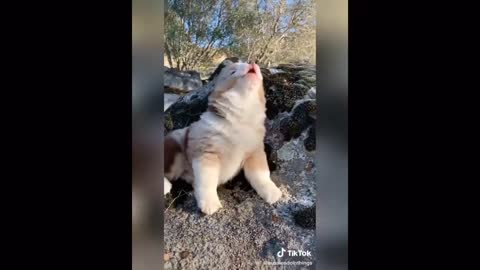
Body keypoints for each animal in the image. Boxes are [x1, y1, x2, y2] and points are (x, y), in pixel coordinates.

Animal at [164, 61, 282, 215]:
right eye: (232, 71)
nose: (252, 63)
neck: (240, 119)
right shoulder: (206, 154)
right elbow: (207, 181)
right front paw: (210, 204)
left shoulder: (255, 153)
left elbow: (261, 175)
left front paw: (272, 192)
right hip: (174, 152)